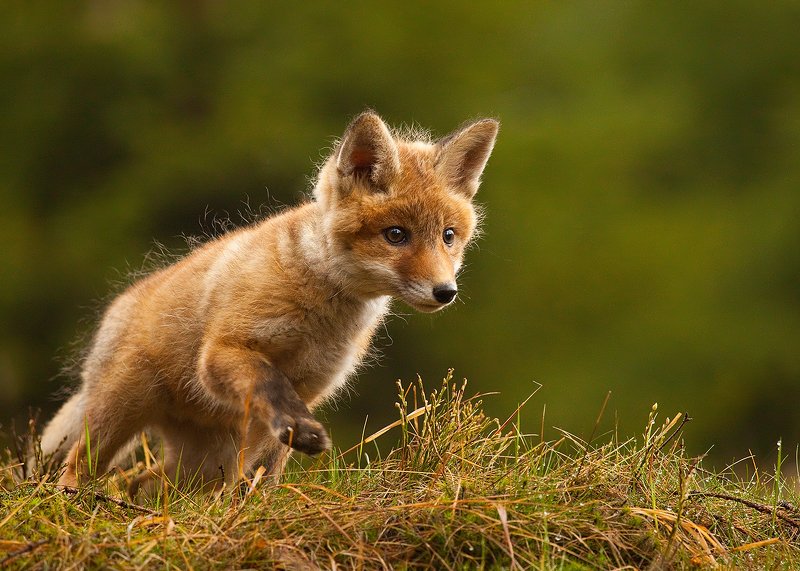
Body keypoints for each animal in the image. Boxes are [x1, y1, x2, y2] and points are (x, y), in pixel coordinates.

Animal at [39, 110, 498, 495]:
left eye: (449, 236)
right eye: (396, 235)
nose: (445, 291)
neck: (321, 316)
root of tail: (116, 310)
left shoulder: (311, 385)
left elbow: (266, 466)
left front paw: (255, 506)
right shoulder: (224, 353)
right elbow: (269, 383)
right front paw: (299, 432)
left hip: (203, 464)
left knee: (142, 483)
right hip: (121, 411)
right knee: (79, 466)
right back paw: (73, 499)